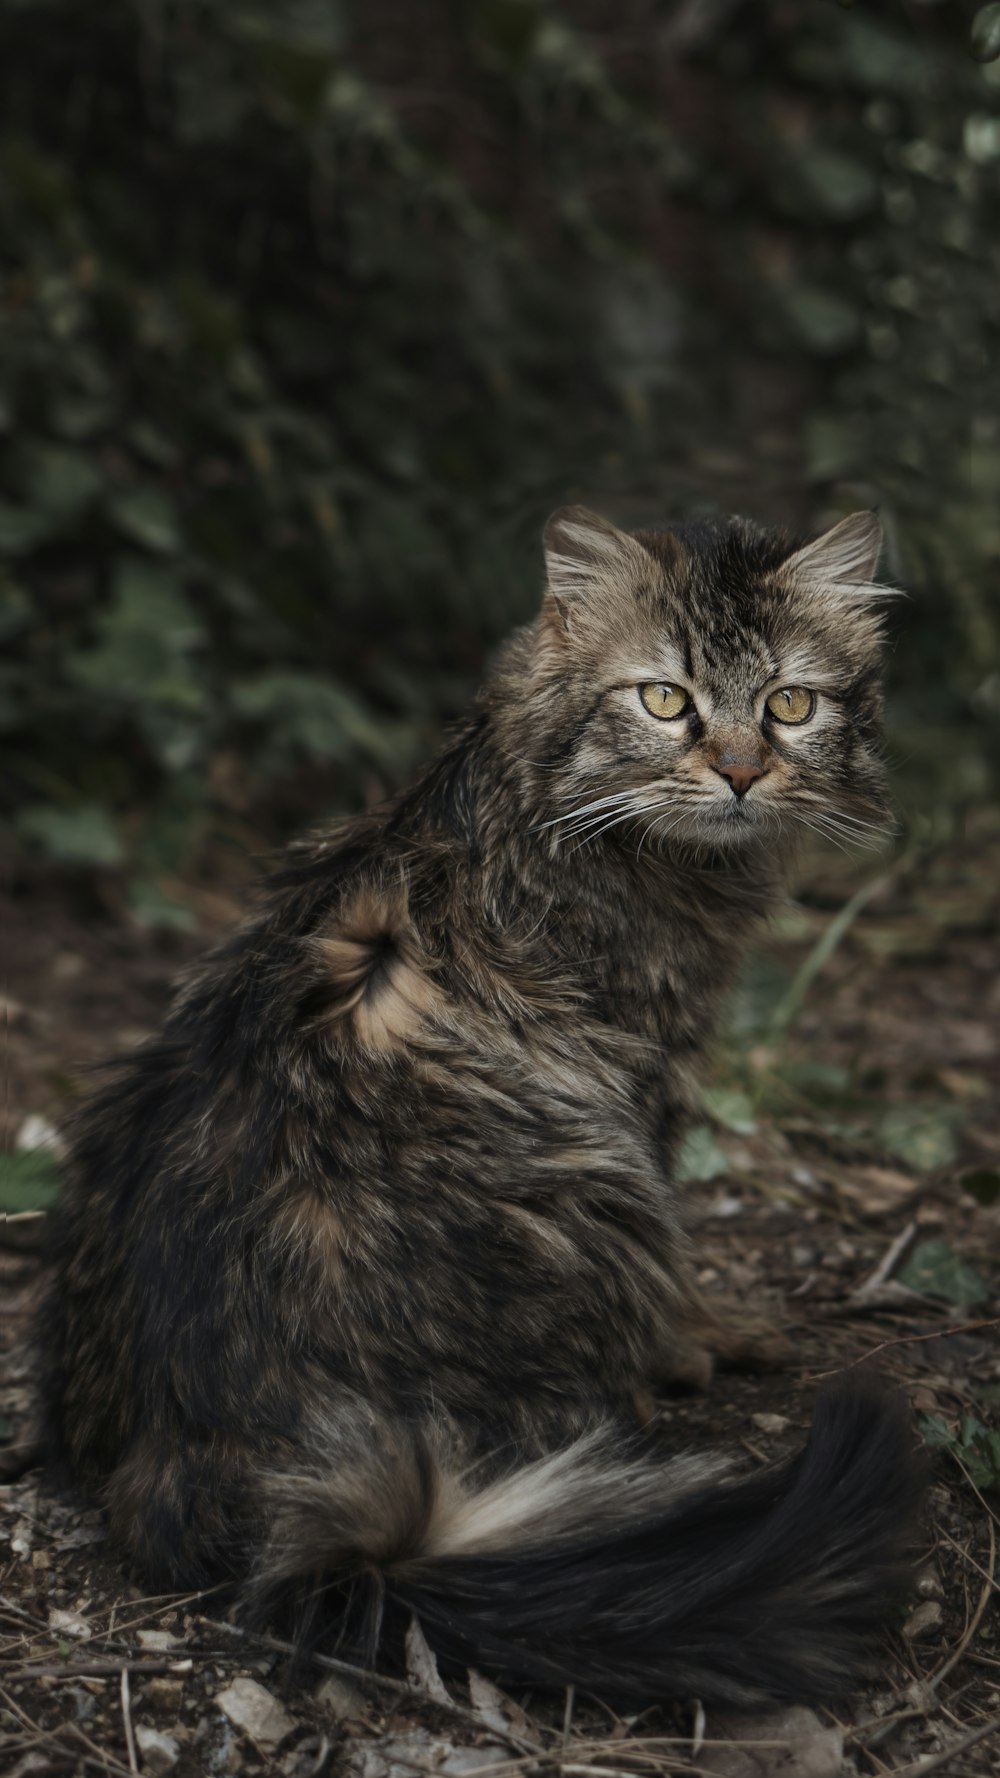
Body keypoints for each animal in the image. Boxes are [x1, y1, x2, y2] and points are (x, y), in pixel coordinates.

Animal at [44, 501, 918, 1706]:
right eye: (665, 700)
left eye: (790, 704)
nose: (741, 771)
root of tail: (185, 1457)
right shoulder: (642, 1074)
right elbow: (677, 1257)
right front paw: (695, 1337)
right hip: (588, 1176)